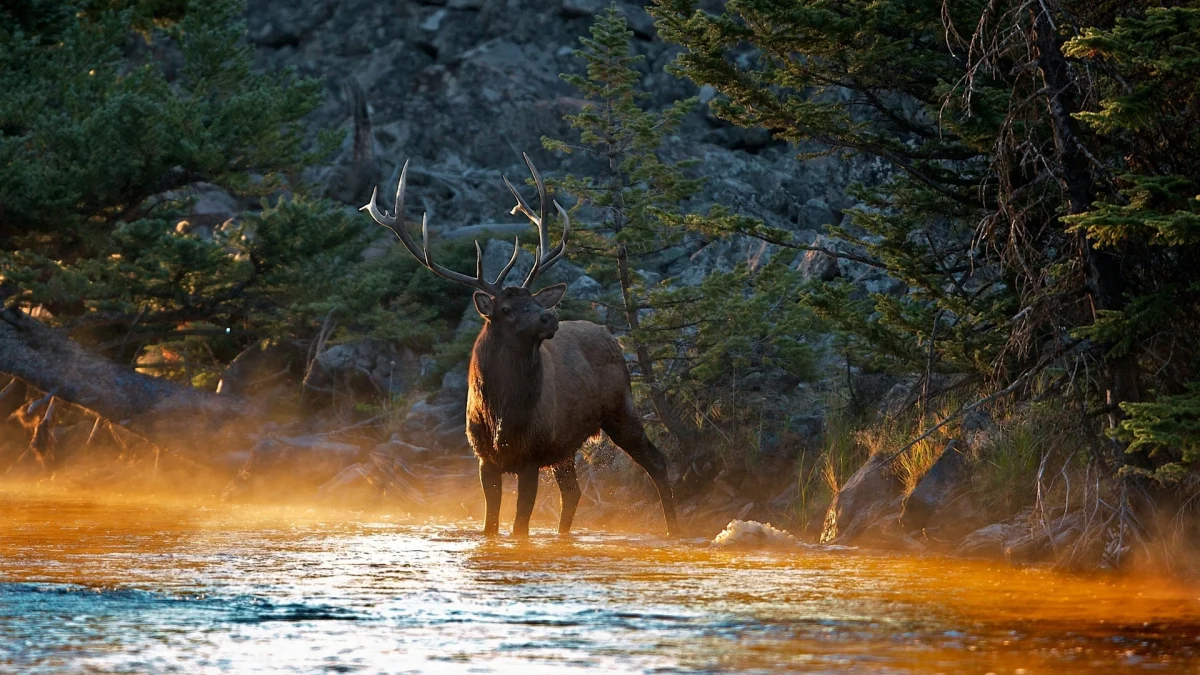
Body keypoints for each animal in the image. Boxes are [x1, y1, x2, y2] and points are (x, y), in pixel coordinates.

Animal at [362, 154, 679, 538]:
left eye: (534, 300)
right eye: (507, 309)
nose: (549, 317)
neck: (502, 414)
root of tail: (611, 337)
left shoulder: (531, 456)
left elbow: (519, 527)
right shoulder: (485, 458)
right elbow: (490, 525)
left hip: (621, 408)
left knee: (657, 461)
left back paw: (674, 530)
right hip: (565, 445)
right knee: (573, 492)